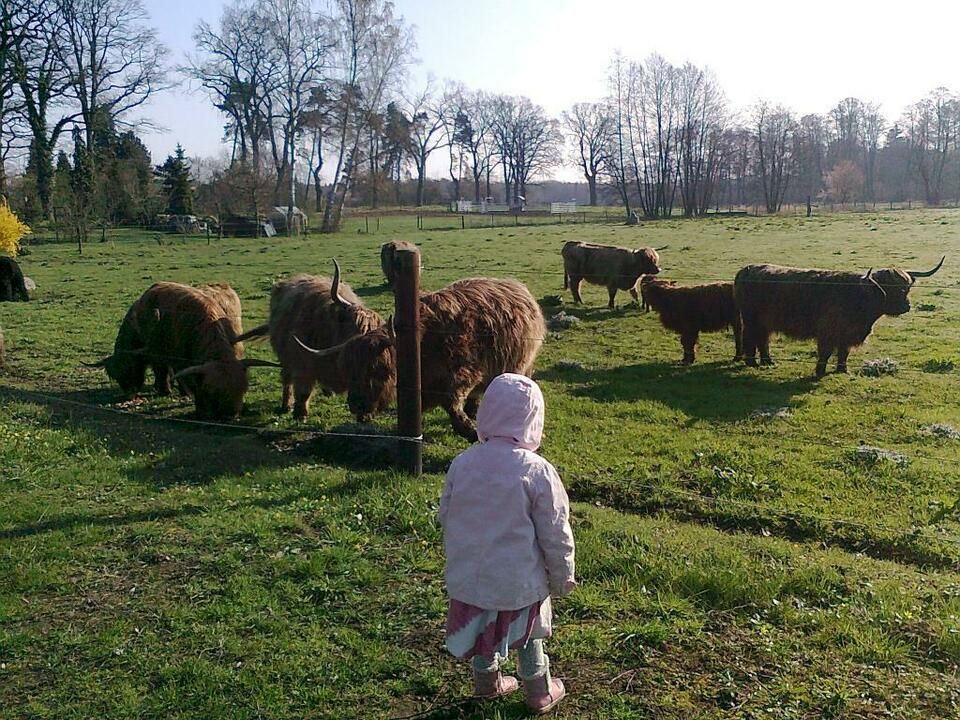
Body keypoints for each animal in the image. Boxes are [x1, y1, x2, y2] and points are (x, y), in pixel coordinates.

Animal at [234, 264, 384, 420]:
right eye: (360, 329)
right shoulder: (302, 363)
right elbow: (303, 391)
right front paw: (300, 414)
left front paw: (365, 415)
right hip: (285, 357)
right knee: (287, 378)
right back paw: (286, 405)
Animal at [292, 278, 548, 442]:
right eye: (348, 372)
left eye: (375, 370)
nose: (356, 404)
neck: (424, 344)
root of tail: (517, 286)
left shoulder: (462, 375)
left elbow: (454, 409)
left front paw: (472, 432)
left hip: (519, 365)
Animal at [736, 256, 944, 376]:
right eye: (889, 289)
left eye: (907, 288)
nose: (906, 306)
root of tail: (745, 270)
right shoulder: (828, 331)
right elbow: (826, 353)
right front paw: (819, 372)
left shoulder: (848, 334)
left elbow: (844, 353)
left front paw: (843, 370)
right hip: (751, 319)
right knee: (750, 338)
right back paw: (752, 363)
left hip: (764, 322)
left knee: (762, 339)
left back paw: (768, 362)